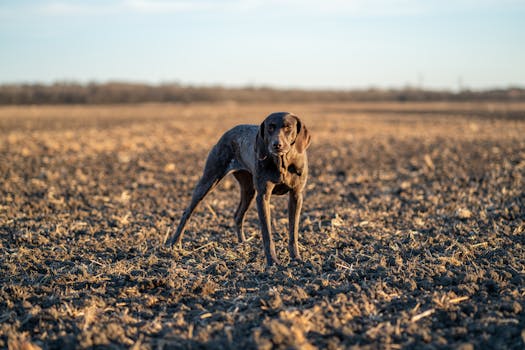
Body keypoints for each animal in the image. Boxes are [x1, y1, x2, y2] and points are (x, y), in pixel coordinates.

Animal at [166, 112, 310, 266]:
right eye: (270, 128)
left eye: (288, 127)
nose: (276, 145)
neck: (283, 163)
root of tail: (229, 132)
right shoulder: (263, 196)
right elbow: (267, 234)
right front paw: (272, 261)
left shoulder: (296, 196)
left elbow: (293, 231)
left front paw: (296, 258)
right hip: (209, 180)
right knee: (187, 212)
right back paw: (174, 243)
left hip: (249, 190)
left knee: (238, 215)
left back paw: (243, 244)